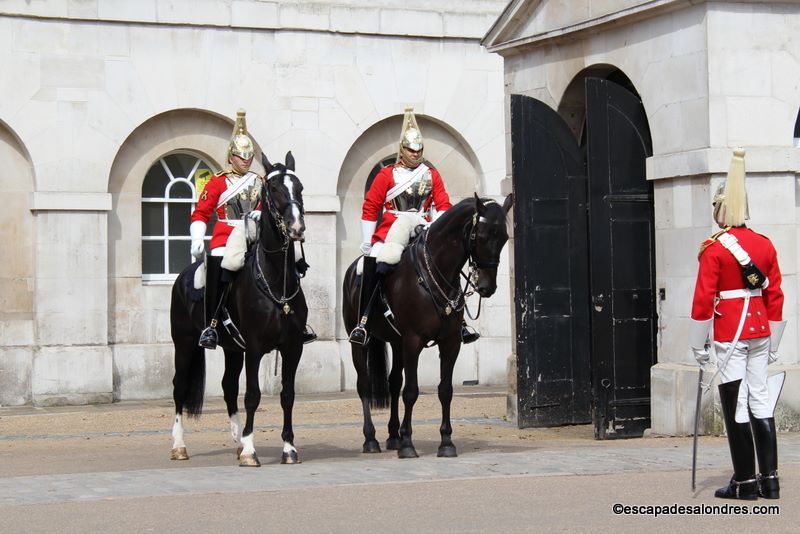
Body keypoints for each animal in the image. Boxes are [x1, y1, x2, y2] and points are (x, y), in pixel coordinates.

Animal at [169, 151, 308, 467]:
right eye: (274, 189)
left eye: (299, 188)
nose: (297, 228)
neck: (276, 282)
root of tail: (185, 274)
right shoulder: (255, 348)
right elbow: (253, 395)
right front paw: (249, 451)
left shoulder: (293, 347)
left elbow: (287, 395)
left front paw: (288, 447)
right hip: (184, 343)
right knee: (180, 387)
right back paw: (179, 445)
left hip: (232, 348)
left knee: (228, 386)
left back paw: (235, 438)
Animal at [342, 194, 512, 458]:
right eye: (482, 236)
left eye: (504, 237)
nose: (487, 287)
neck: (433, 273)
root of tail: (352, 270)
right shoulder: (413, 341)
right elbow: (411, 391)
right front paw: (408, 443)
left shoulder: (450, 343)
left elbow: (445, 390)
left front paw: (446, 442)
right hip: (361, 341)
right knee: (364, 385)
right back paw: (371, 439)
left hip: (397, 343)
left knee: (393, 383)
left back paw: (393, 436)